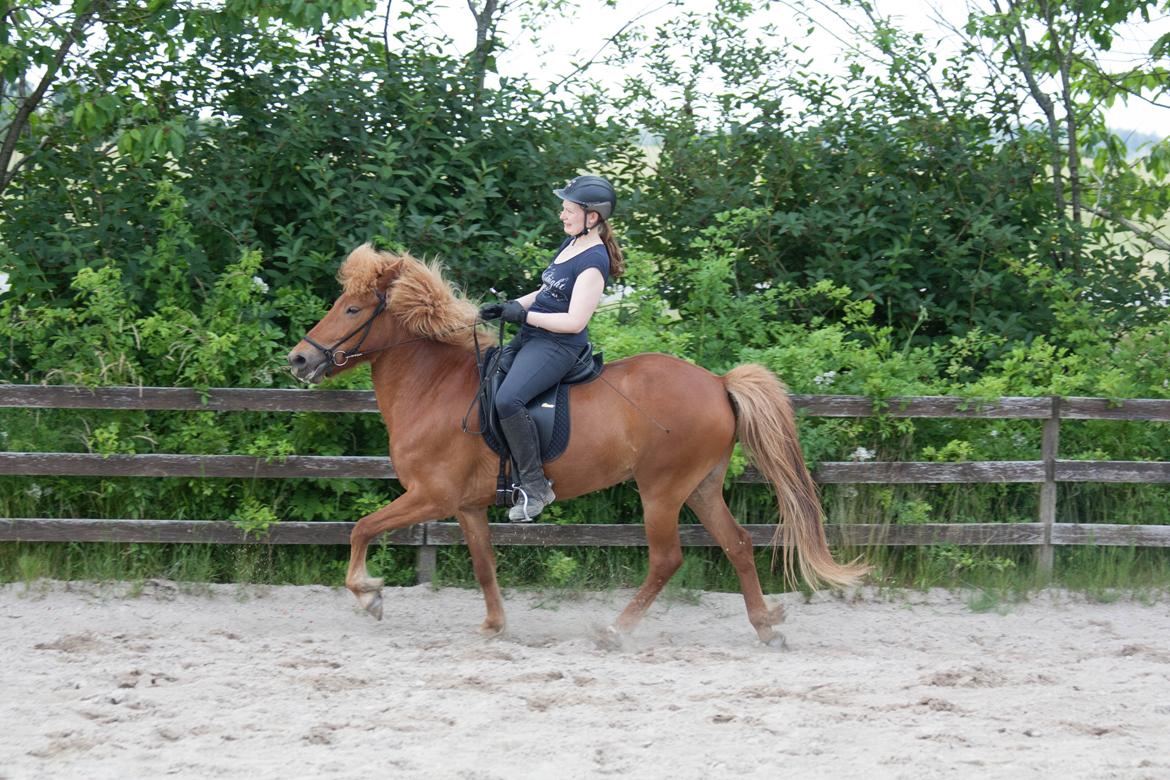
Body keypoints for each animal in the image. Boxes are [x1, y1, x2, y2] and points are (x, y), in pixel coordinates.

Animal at [286, 244, 865, 645]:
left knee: (667, 559)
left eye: (354, 311)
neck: (435, 387)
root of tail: (719, 383)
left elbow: (361, 528)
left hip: (661, 490)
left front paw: (369, 596)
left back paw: (615, 631)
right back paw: (766, 626)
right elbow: (483, 565)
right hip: (701, 487)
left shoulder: (431, 496)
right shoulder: (467, 505)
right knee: (739, 544)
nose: (299, 359)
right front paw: (493, 626)